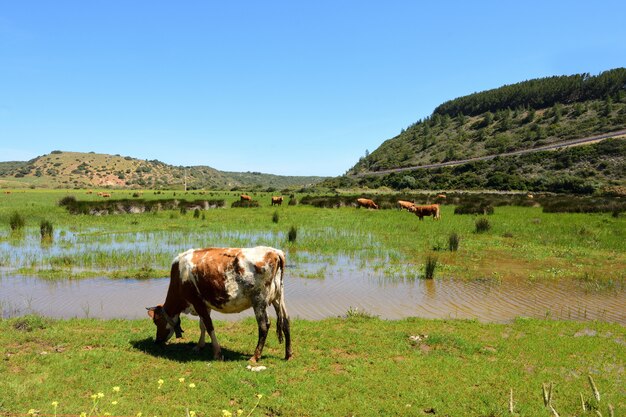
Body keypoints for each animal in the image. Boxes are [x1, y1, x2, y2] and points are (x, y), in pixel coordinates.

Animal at [147, 247, 292, 360]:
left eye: (156, 321)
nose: (157, 341)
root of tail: (274, 252)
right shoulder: (205, 304)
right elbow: (202, 325)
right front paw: (199, 346)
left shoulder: (197, 302)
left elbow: (209, 325)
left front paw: (217, 352)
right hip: (278, 298)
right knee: (285, 321)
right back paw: (288, 354)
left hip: (259, 300)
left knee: (263, 326)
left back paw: (255, 356)